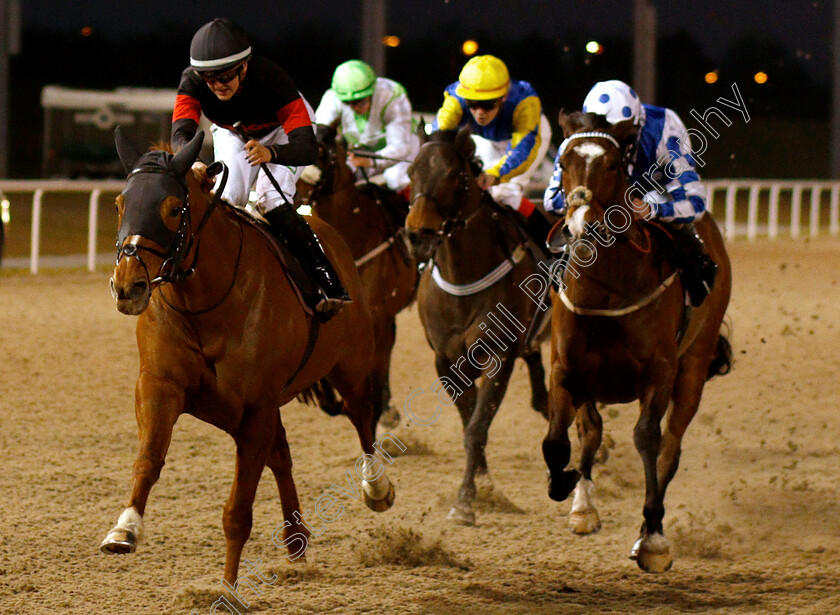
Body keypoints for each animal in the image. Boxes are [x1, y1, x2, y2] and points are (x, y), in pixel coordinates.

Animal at [100, 129, 396, 584]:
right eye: (119, 204)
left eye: (172, 209)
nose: (128, 286)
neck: (204, 303)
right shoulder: (160, 385)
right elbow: (149, 457)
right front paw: (125, 529)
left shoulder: (254, 408)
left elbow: (237, 513)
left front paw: (227, 587)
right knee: (283, 453)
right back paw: (296, 537)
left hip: (351, 366)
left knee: (362, 418)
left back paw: (376, 487)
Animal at [406, 127, 556, 528]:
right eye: (411, 172)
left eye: (454, 175)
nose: (418, 235)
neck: (464, 276)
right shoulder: (445, 361)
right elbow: (469, 418)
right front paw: (484, 484)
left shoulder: (500, 356)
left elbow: (477, 426)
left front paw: (465, 500)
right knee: (540, 391)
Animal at [540, 113, 732, 576]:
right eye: (563, 161)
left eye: (612, 165)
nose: (580, 224)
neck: (607, 289)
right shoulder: (565, 368)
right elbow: (558, 441)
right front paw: (568, 484)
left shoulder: (659, 373)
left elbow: (648, 438)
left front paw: (654, 537)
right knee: (590, 430)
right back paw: (583, 505)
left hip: (693, 368)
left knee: (670, 448)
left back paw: (647, 531)